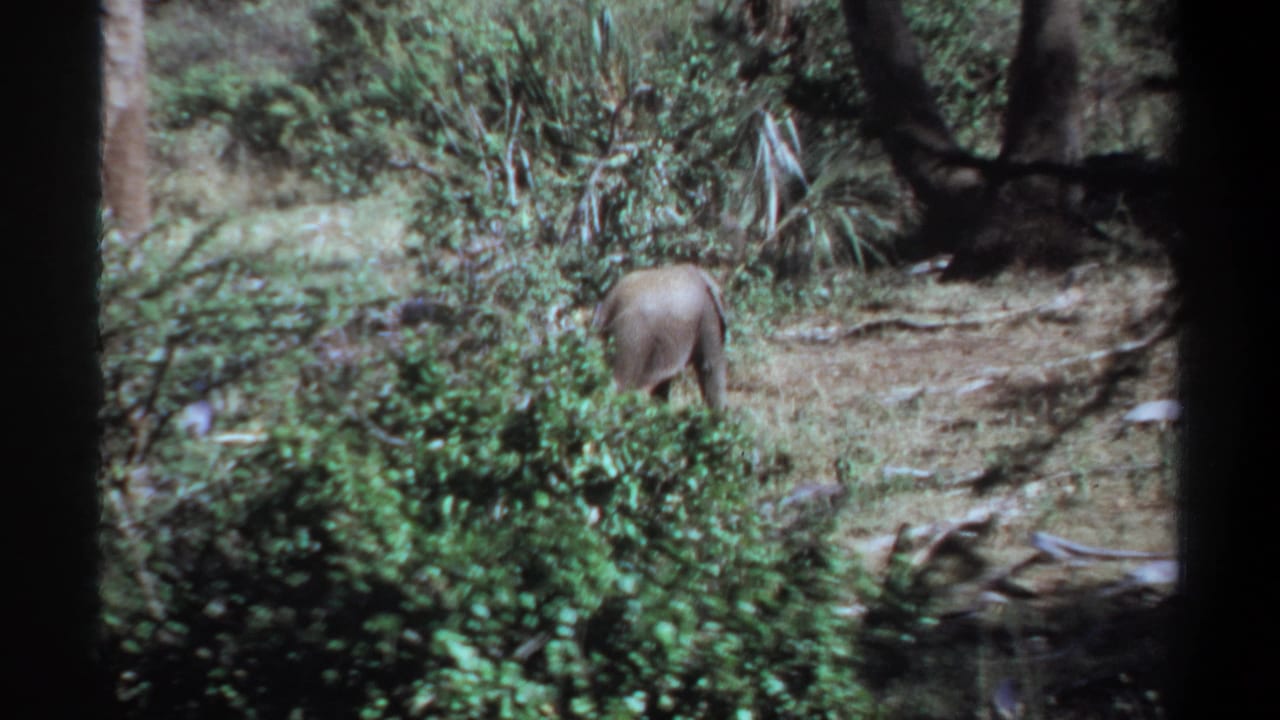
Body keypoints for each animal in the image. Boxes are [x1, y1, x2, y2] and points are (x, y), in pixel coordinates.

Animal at [592, 264, 728, 410]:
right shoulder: (707, 316)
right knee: (621, 382)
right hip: (633, 335)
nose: (725, 410)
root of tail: (610, 303)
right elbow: (709, 365)